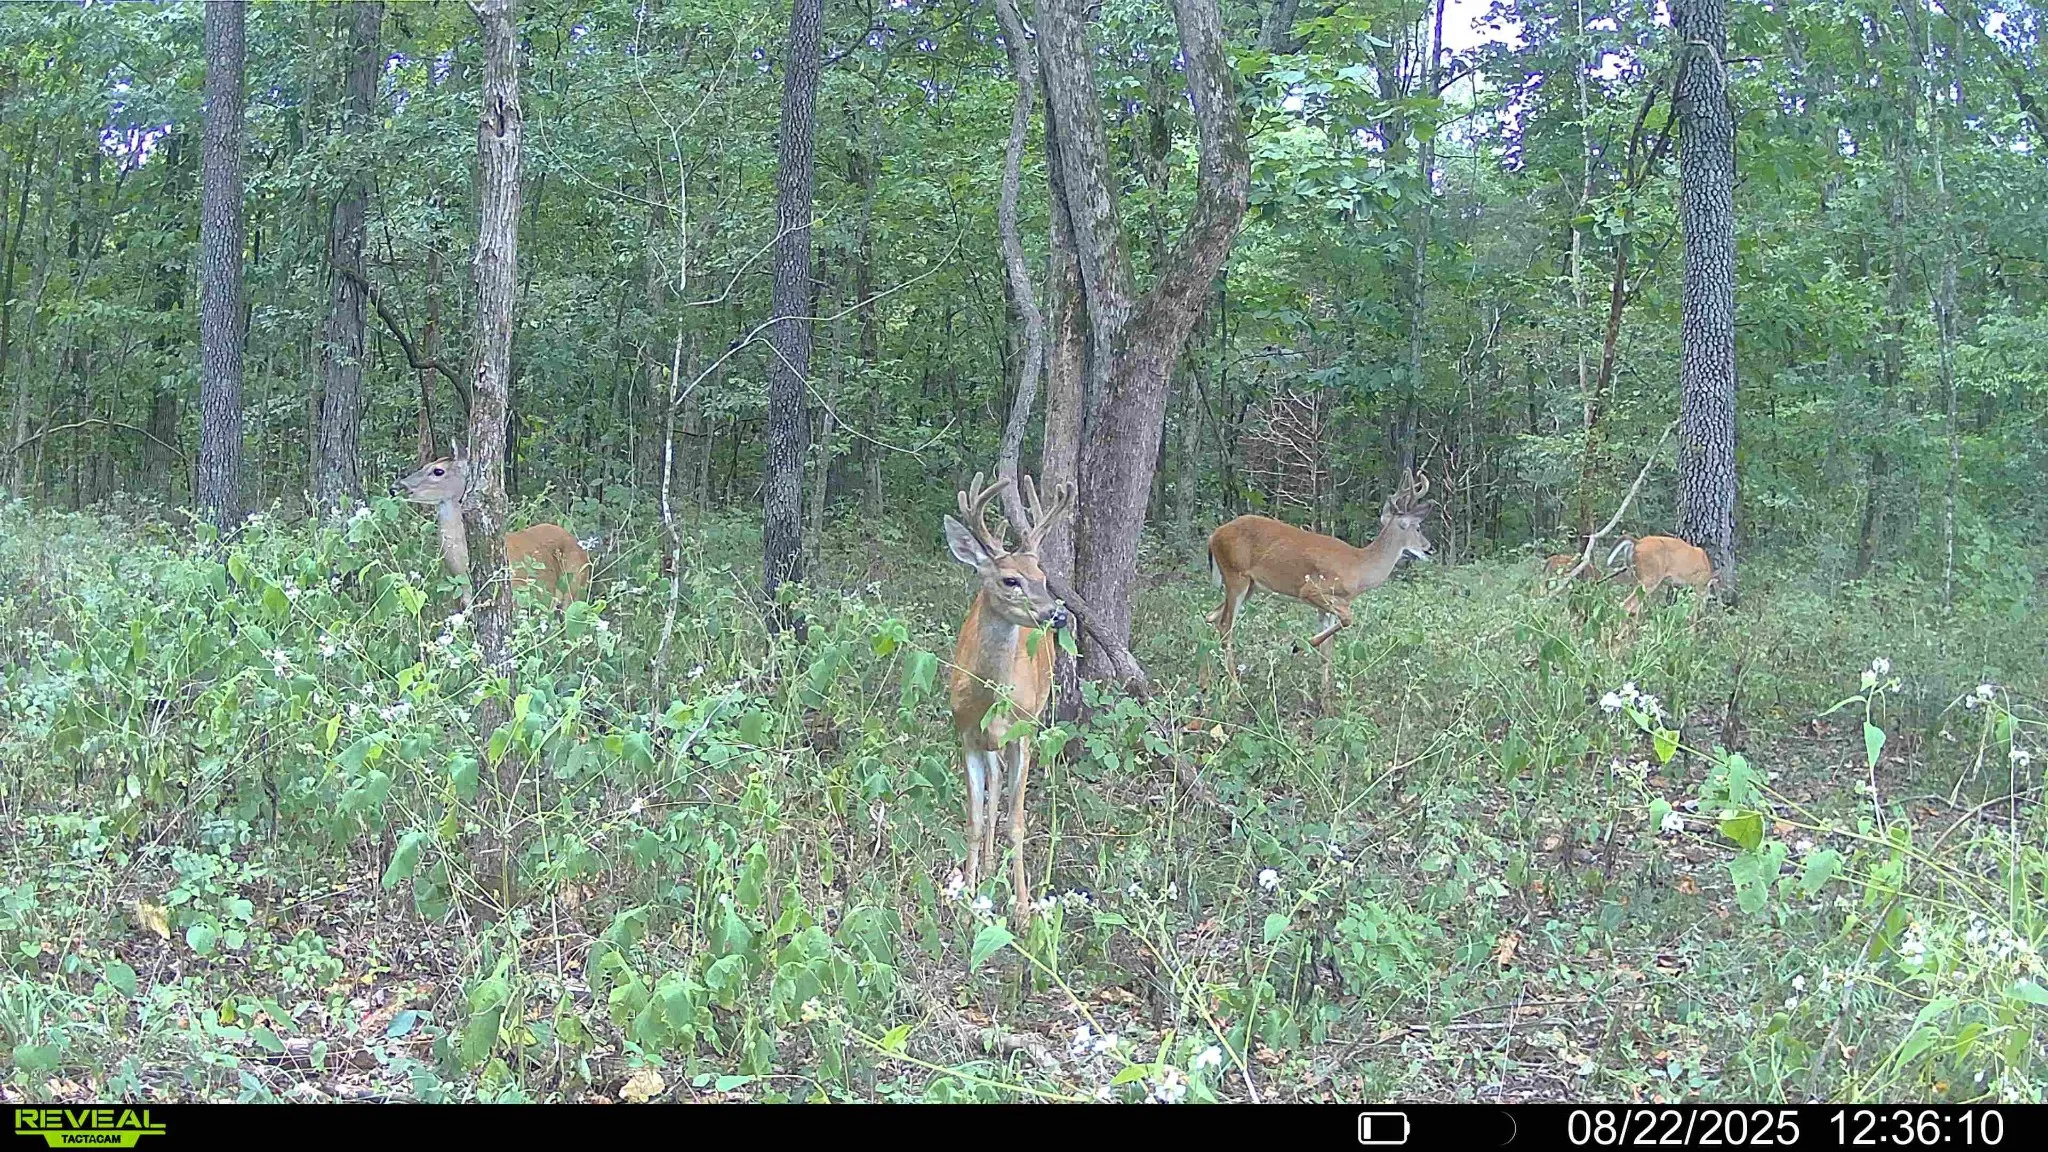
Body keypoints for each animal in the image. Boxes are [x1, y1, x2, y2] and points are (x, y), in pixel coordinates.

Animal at [942, 471, 1075, 927]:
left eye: (1043, 576)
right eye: (1010, 580)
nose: (1059, 613)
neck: (989, 701)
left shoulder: (1023, 733)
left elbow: (1015, 820)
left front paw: (1021, 908)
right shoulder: (965, 734)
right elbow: (974, 817)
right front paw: (968, 898)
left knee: (1002, 787)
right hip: (987, 743)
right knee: (994, 785)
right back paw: (983, 870)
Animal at [1206, 469, 1434, 697]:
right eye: (1417, 527)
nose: (1429, 548)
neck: (1360, 568)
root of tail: (1213, 535)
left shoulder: (1330, 605)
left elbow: (1327, 650)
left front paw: (1325, 696)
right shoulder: (1312, 590)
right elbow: (1347, 620)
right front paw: (1300, 645)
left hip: (1249, 585)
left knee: (1212, 617)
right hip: (1236, 575)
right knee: (1225, 626)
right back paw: (1235, 689)